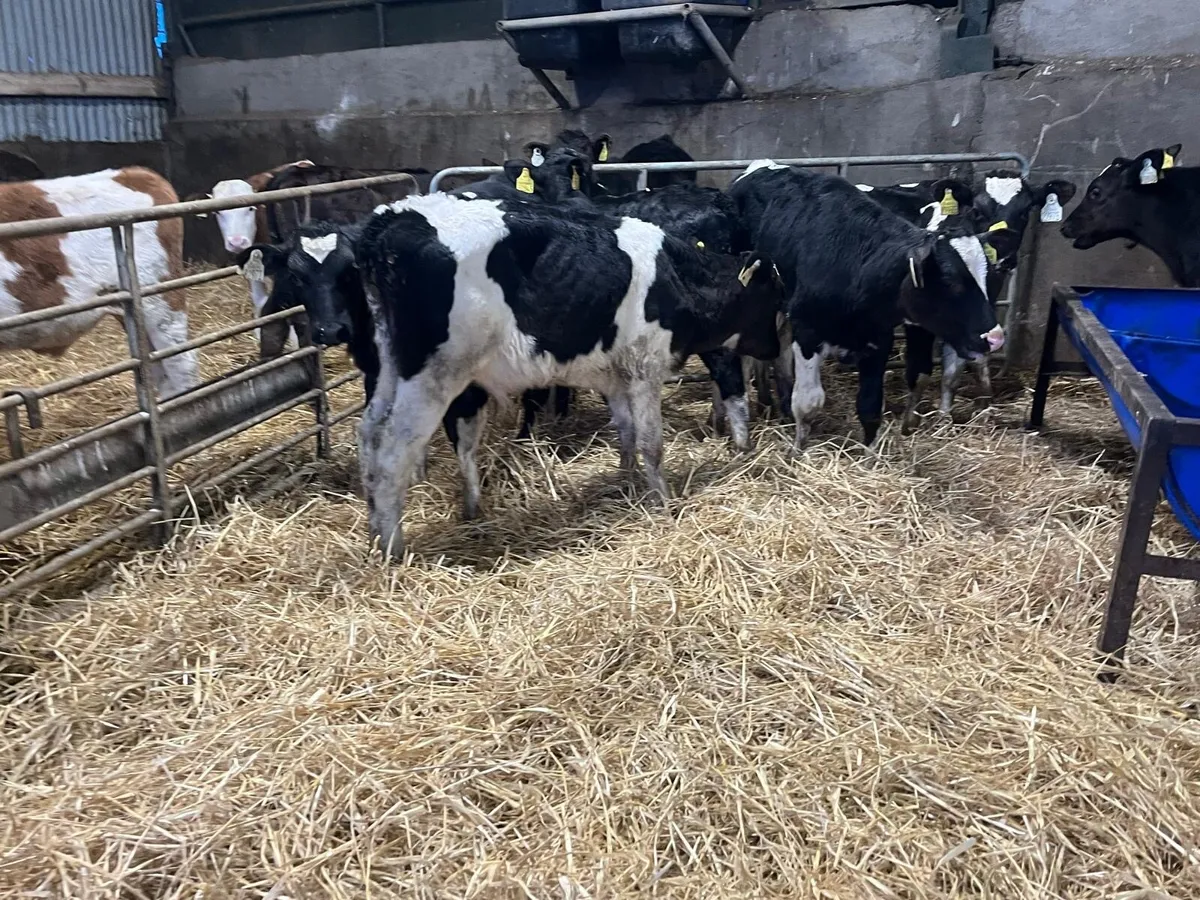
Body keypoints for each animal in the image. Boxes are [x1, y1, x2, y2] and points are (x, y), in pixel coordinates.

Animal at [729, 160, 1004, 450]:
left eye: (988, 274)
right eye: (952, 282)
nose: (995, 337)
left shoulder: (878, 338)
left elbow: (870, 408)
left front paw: (871, 453)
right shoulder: (807, 333)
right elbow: (807, 403)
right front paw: (798, 449)